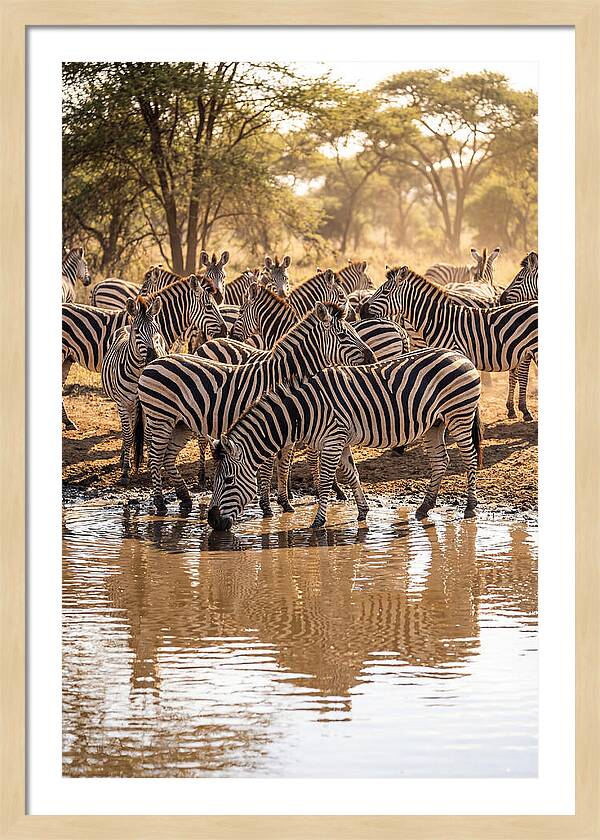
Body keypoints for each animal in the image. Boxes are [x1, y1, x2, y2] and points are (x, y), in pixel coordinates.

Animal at [101, 296, 168, 484]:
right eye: (137, 332)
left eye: (157, 330)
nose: (154, 358)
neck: (139, 373)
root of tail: (125, 326)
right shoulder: (123, 403)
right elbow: (128, 435)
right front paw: (125, 471)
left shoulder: (151, 406)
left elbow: (149, 436)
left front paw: (152, 464)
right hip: (124, 404)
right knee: (127, 431)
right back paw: (124, 456)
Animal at [133, 303, 376, 513]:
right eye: (343, 335)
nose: (372, 357)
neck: (283, 376)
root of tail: (153, 363)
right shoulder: (269, 424)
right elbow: (268, 467)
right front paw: (267, 506)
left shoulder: (288, 427)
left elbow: (284, 465)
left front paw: (285, 503)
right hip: (160, 418)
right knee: (155, 457)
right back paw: (160, 503)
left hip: (181, 424)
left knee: (167, 458)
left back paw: (184, 498)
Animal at [207, 347, 483, 530]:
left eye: (228, 480)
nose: (212, 521)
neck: (304, 410)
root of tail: (460, 356)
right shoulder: (340, 441)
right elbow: (352, 475)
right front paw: (362, 511)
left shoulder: (333, 440)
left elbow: (326, 482)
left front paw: (318, 522)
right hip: (434, 424)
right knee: (441, 461)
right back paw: (425, 506)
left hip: (459, 414)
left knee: (469, 458)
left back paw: (470, 506)